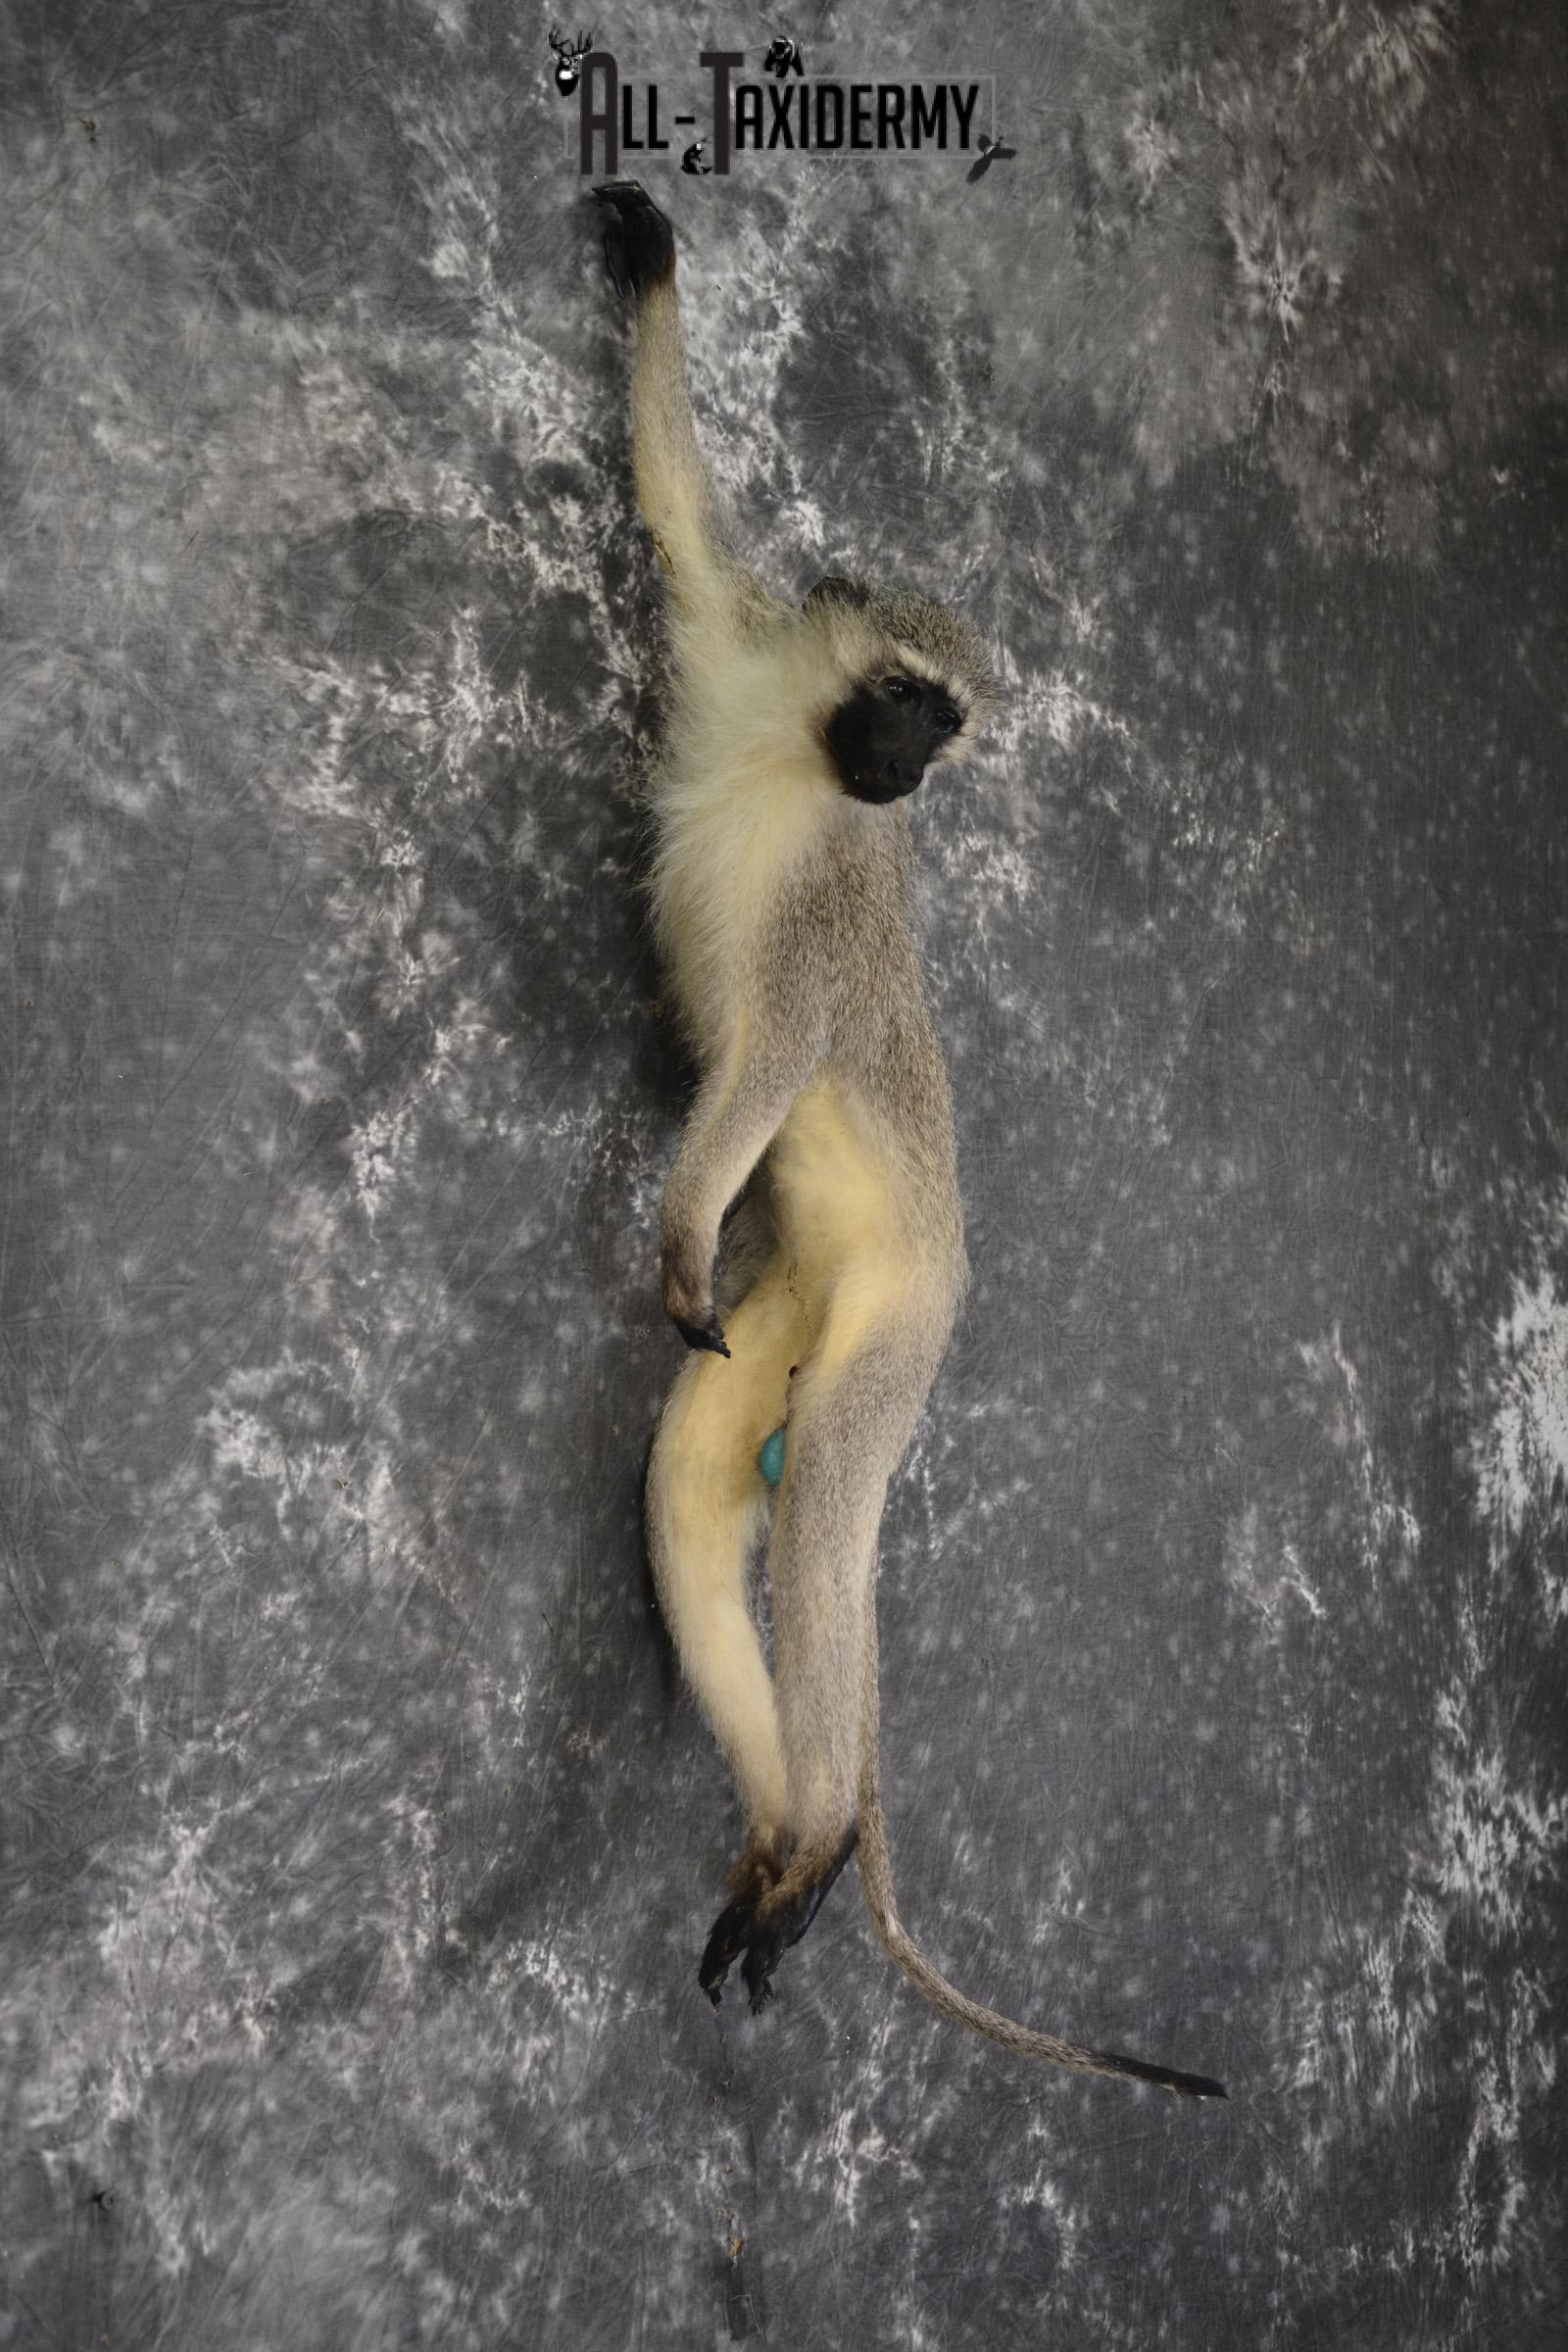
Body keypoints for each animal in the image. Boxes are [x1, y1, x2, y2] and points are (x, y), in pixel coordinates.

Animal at [591, 180, 1226, 2101]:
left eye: (945, 738)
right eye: (905, 701)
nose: (911, 775)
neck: (795, 765)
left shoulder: (820, 922)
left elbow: (775, 1055)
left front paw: (674, 1218)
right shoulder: (734, 633)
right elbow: (675, 494)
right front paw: (651, 267)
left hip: (896, 1326)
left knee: (818, 1526)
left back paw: (809, 1838)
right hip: (790, 1311)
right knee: (700, 1488)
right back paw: (783, 1852)